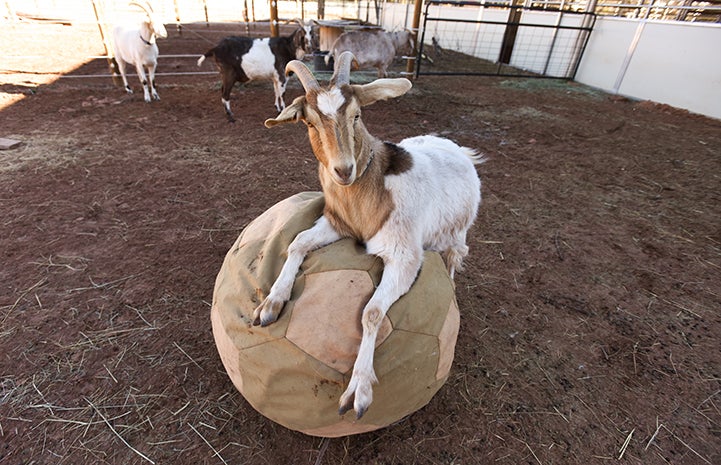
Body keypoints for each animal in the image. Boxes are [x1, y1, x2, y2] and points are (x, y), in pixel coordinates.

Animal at [255, 52, 484, 418]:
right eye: (309, 123)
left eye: (357, 114)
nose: (343, 170)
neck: (371, 192)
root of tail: (459, 149)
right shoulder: (337, 223)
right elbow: (298, 242)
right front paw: (271, 302)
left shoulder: (404, 257)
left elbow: (372, 312)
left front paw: (359, 390)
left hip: (457, 231)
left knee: (453, 258)